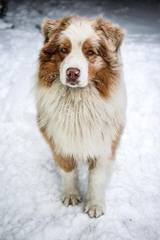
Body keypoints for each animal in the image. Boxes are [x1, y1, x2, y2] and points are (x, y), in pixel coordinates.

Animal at [35, 15, 127, 218]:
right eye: (63, 50)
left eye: (91, 52)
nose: (72, 72)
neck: (77, 103)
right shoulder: (59, 140)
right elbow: (68, 170)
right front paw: (71, 196)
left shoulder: (104, 143)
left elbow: (97, 178)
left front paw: (94, 205)